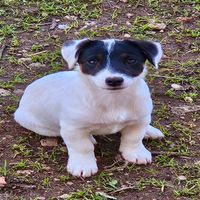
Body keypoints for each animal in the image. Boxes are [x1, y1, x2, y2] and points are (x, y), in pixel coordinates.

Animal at [14, 38, 164, 177]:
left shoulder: (139, 120)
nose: (114, 80)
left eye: (131, 60)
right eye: (92, 62)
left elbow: (133, 138)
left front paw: (135, 153)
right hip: (41, 127)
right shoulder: (73, 128)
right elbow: (82, 147)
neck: (113, 100)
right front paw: (82, 165)